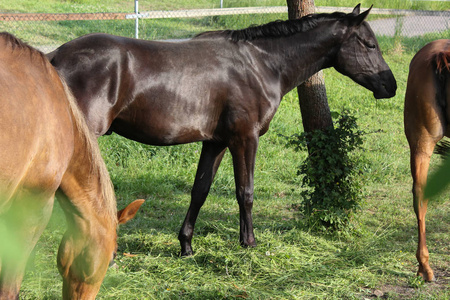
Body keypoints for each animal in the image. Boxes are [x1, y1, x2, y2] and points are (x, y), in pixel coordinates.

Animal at [47, 4, 396, 255]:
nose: (390, 86)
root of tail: (53, 56)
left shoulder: (215, 142)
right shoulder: (245, 138)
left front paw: (186, 245)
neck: (261, 64)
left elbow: (200, 190)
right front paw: (249, 242)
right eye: (369, 43)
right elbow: (246, 191)